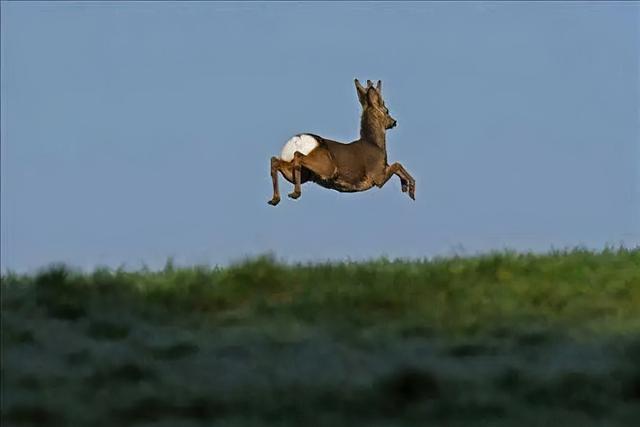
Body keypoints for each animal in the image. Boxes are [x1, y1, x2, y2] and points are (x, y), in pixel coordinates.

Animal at [268, 81, 416, 208]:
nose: (394, 122)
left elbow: (396, 166)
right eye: (386, 110)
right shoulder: (377, 175)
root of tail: (298, 140)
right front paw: (411, 189)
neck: (375, 144)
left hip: (300, 174)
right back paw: (295, 193)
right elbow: (397, 164)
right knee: (297, 155)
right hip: (327, 167)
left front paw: (406, 187)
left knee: (275, 161)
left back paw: (275, 199)